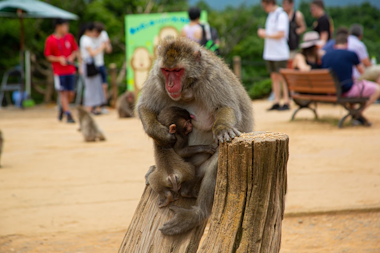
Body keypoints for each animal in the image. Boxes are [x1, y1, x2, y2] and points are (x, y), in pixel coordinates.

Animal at [135, 37, 254, 235]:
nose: (170, 84)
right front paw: (159, 133)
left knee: (217, 162)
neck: (188, 88)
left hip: (197, 171)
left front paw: (223, 128)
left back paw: (198, 212)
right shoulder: (155, 77)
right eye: (166, 71)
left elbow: (226, 107)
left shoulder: (213, 77)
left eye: (177, 71)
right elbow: (145, 107)